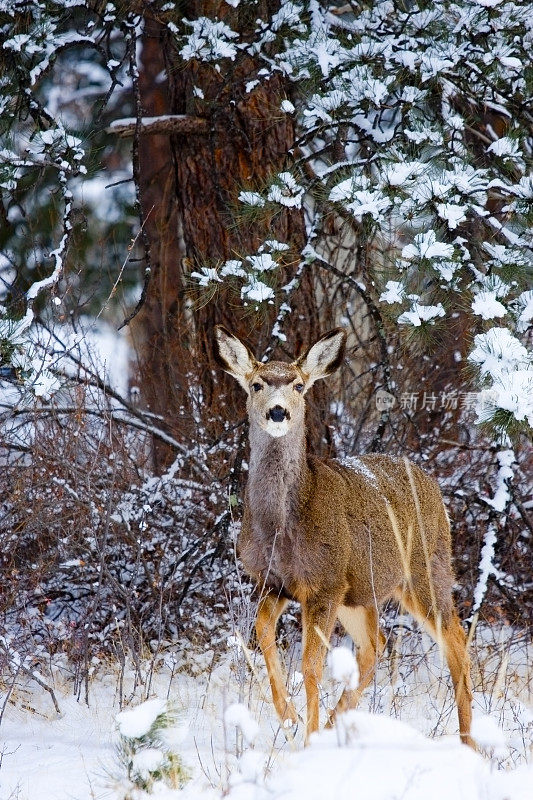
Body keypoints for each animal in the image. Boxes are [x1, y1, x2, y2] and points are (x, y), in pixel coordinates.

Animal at [214, 324, 472, 744]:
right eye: (256, 384)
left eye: (299, 385)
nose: (278, 411)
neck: (281, 527)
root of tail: (433, 483)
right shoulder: (274, 582)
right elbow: (262, 633)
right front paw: (291, 719)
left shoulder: (325, 582)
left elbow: (311, 665)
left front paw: (306, 737)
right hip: (360, 592)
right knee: (376, 646)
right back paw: (337, 721)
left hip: (425, 570)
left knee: (457, 643)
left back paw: (470, 742)